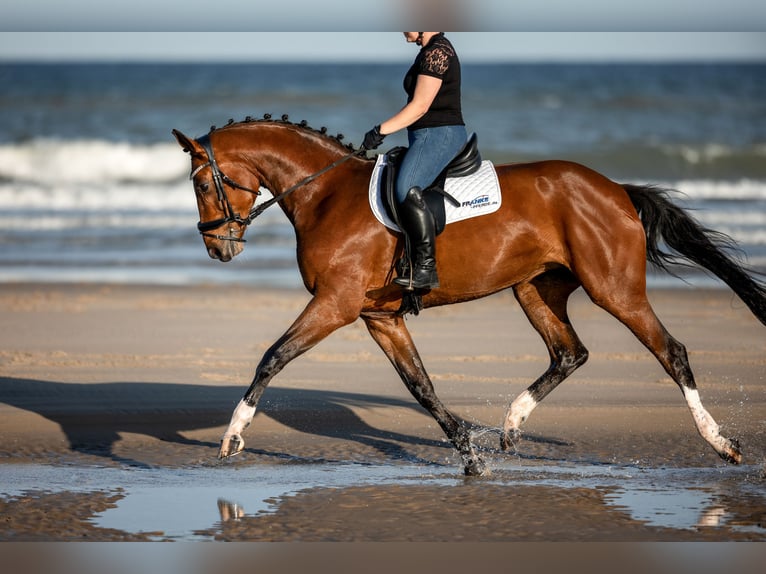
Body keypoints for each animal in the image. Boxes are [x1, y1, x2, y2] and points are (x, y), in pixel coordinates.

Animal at [174, 116, 766, 476]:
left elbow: (273, 357)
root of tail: (615, 189)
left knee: (671, 352)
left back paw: (721, 443)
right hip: (535, 288)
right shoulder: (378, 317)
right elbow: (421, 387)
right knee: (569, 352)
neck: (324, 195)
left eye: (202, 185)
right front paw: (469, 453)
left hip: (614, 289)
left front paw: (233, 436)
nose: (217, 248)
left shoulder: (335, 305)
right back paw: (511, 425)